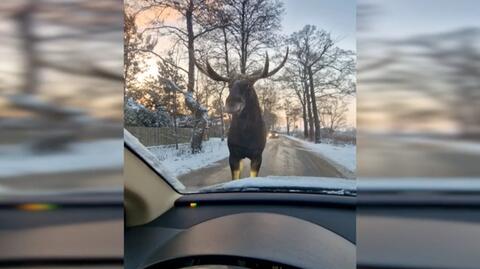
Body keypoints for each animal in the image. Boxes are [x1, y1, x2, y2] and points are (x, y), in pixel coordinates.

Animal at [195, 49, 288, 179]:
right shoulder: (233, 155)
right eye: (229, 85)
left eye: (248, 85)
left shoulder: (257, 155)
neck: (246, 136)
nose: (231, 103)